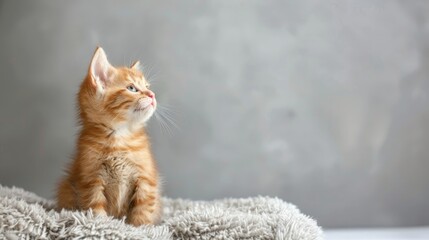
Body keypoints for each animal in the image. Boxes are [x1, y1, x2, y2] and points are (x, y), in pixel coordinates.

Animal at [57, 46, 161, 225]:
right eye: (132, 88)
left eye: (147, 86)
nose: (152, 94)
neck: (119, 138)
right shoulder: (90, 180)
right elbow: (95, 206)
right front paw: (102, 225)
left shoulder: (146, 179)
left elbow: (143, 208)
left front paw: (141, 227)